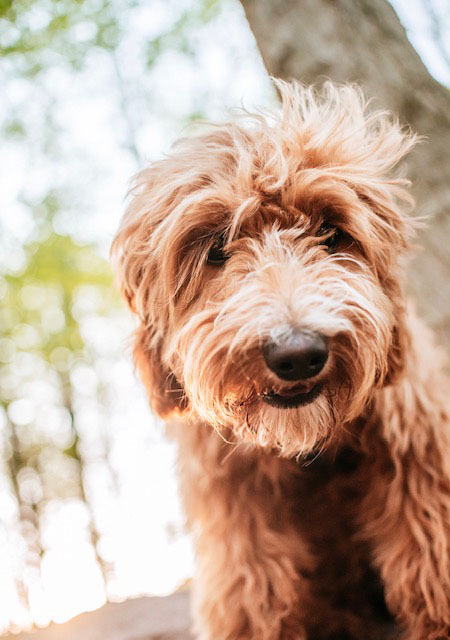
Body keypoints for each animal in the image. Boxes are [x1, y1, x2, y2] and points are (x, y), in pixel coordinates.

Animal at [111, 82, 450, 640]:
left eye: (331, 233)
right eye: (217, 248)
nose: (298, 355)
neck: (306, 452)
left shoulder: (419, 466)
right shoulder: (237, 531)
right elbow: (254, 600)